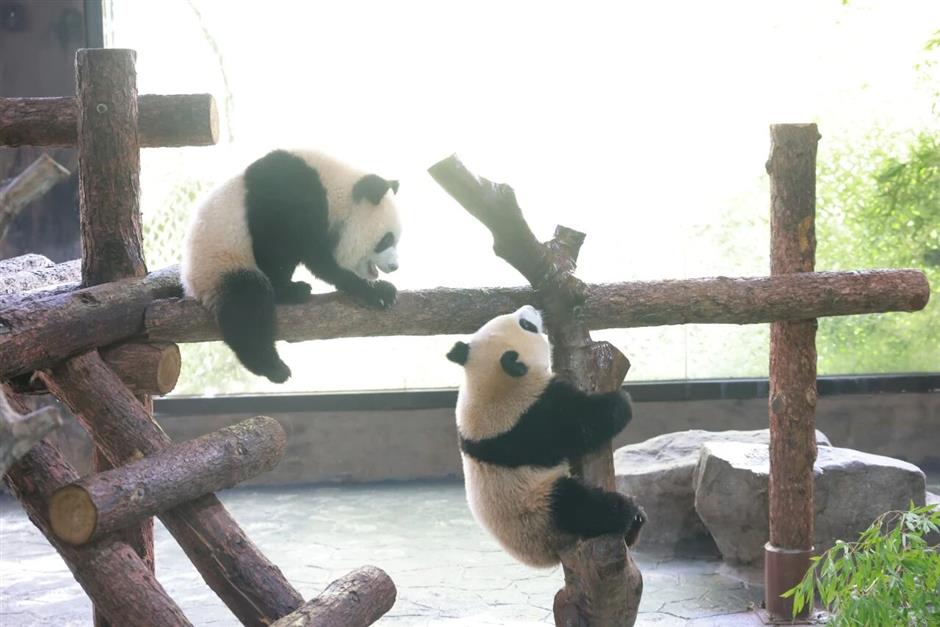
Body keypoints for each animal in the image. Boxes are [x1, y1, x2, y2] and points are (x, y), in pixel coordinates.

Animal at [182, 149, 401, 383]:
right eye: (386, 240)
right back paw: (272, 366)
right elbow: (290, 253)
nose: (395, 266)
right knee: (248, 303)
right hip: (218, 264)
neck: (334, 188)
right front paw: (376, 291)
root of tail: (191, 286)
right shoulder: (289, 192)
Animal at [446, 305, 645, 567]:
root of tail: (545, 557)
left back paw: (637, 521)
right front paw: (621, 402)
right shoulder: (530, 420)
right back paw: (625, 513)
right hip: (538, 510)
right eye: (526, 325)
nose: (531, 308)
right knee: (577, 505)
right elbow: (581, 424)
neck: (489, 385)